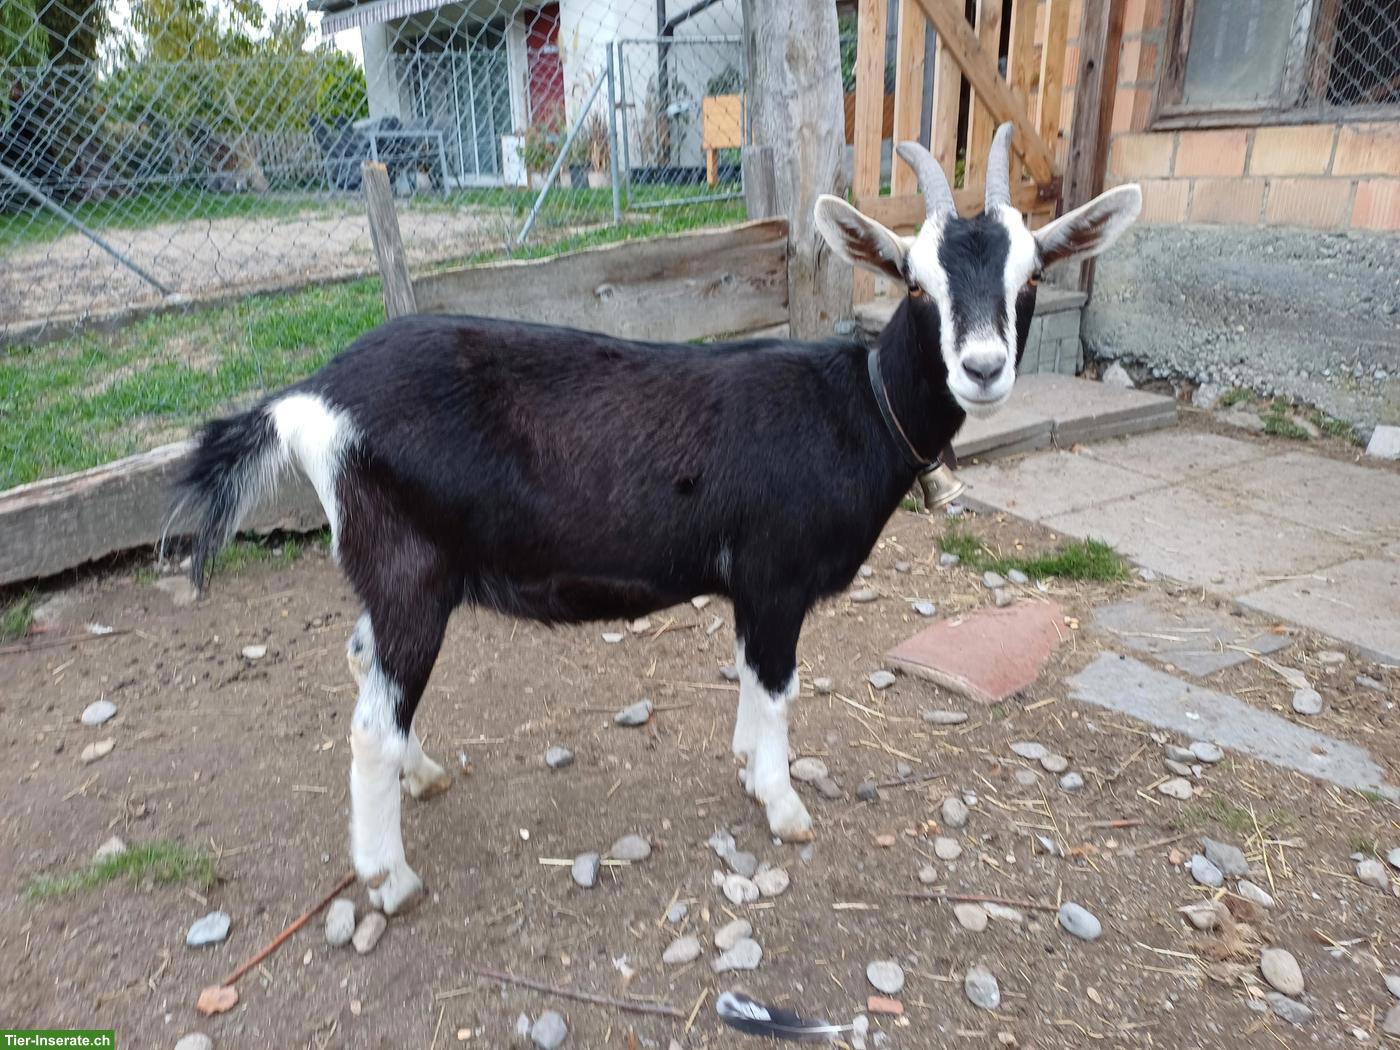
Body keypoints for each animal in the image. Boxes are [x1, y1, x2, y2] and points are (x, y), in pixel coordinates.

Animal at [173, 125, 1140, 914]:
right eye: (913, 281)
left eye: (1032, 275)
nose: (982, 368)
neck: (856, 407)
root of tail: (309, 399)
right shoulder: (776, 573)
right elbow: (779, 686)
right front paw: (784, 807)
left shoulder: (751, 587)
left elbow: (750, 678)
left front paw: (750, 769)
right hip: (409, 569)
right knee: (372, 722)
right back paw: (390, 878)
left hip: (387, 570)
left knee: (364, 666)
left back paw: (424, 775)